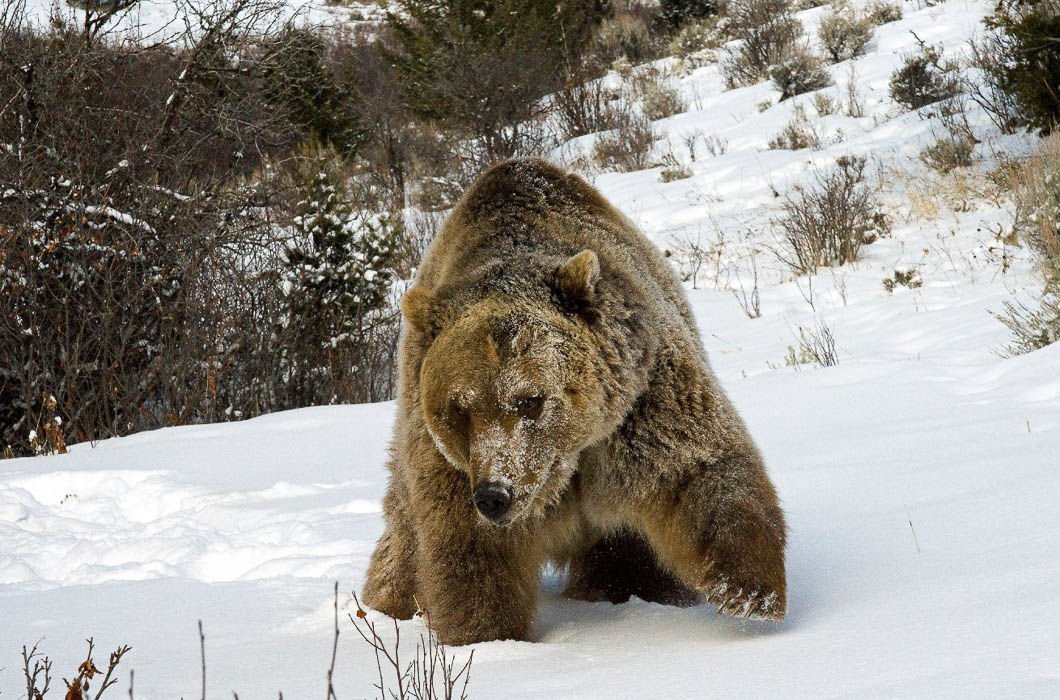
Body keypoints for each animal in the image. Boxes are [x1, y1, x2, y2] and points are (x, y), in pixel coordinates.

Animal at [364, 159, 788, 644]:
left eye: (530, 399)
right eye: (460, 409)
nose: (495, 495)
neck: (565, 465)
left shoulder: (639, 405)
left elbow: (697, 469)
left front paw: (752, 594)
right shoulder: (450, 464)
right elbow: (472, 551)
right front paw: (487, 636)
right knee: (403, 535)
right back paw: (388, 601)